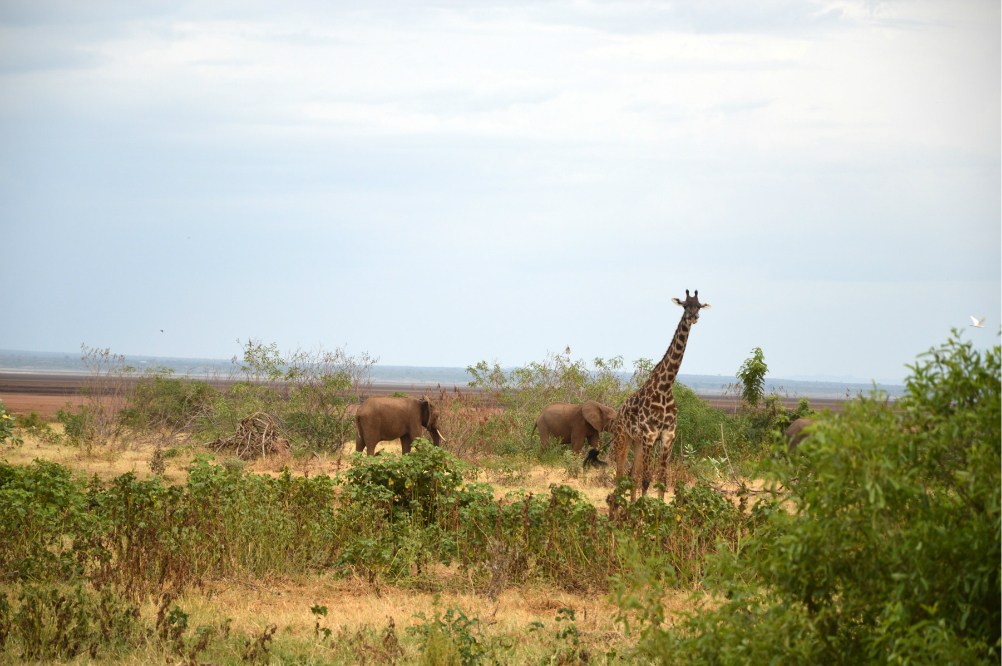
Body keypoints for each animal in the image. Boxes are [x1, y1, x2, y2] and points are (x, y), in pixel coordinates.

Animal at [613, 288, 709, 500]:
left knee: (631, 474)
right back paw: (616, 508)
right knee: (619, 474)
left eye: (698, 306)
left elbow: (662, 480)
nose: (694, 316)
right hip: (622, 438)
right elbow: (647, 479)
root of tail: (619, 411)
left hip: (637, 442)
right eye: (685, 305)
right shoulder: (650, 435)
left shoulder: (667, 436)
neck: (665, 387)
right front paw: (643, 509)